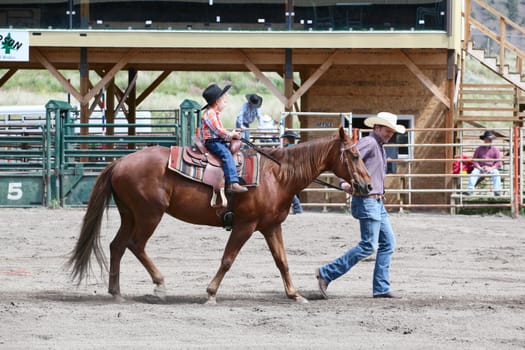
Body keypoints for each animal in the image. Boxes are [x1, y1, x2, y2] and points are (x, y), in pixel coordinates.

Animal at [67, 126, 370, 304]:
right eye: (355, 155)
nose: (367, 186)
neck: (276, 176)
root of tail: (119, 162)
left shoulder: (271, 226)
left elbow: (282, 261)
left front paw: (295, 295)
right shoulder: (245, 225)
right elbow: (228, 259)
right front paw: (211, 294)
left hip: (130, 214)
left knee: (117, 245)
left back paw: (116, 293)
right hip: (149, 215)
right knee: (135, 245)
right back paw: (159, 285)